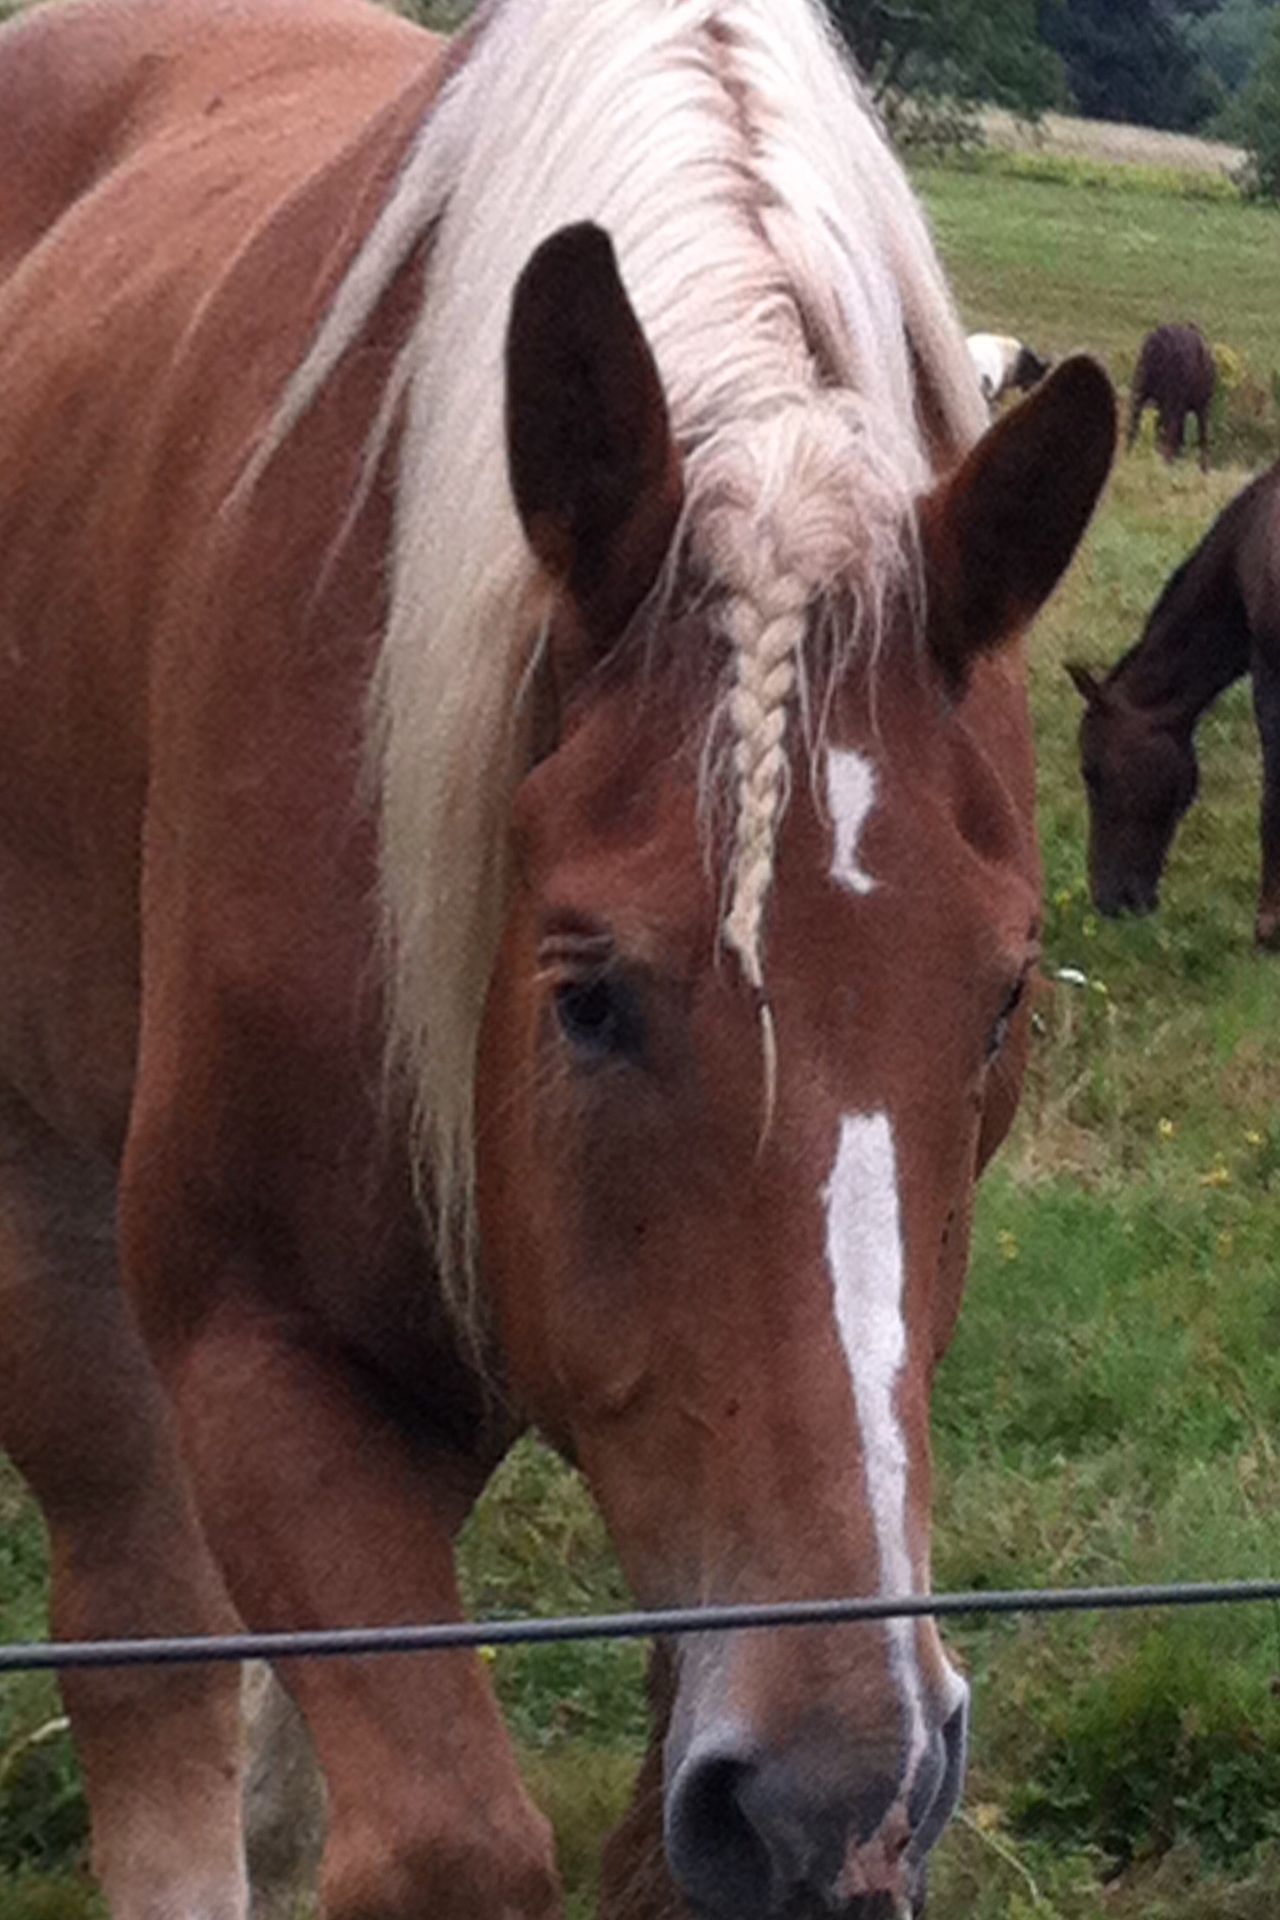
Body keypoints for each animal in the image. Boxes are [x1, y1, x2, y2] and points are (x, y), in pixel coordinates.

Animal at [0, 3, 1113, 1920]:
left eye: (1000, 1004)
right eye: (587, 994)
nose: (847, 1794)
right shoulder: (257, 1342)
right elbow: (438, 1832)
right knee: (144, 1650)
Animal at [1128, 322, 1220, 472]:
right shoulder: (1201, 405)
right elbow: (1201, 436)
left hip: (1140, 387)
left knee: (1134, 424)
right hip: (1174, 400)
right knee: (1171, 432)